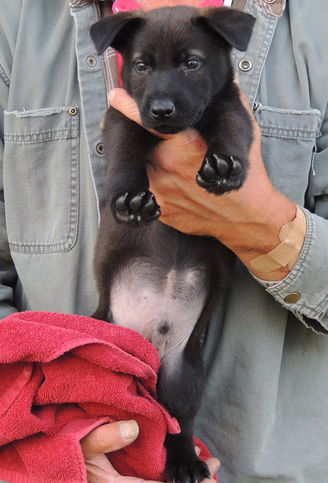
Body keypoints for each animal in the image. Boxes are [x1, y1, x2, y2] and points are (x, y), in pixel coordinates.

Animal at [91, 7, 255, 483]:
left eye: (192, 64)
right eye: (141, 65)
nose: (162, 109)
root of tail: (152, 350)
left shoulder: (229, 107)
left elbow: (232, 131)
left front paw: (226, 166)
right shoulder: (125, 118)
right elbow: (126, 150)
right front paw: (129, 198)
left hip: (184, 376)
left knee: (177, 423)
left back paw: (184, 462)